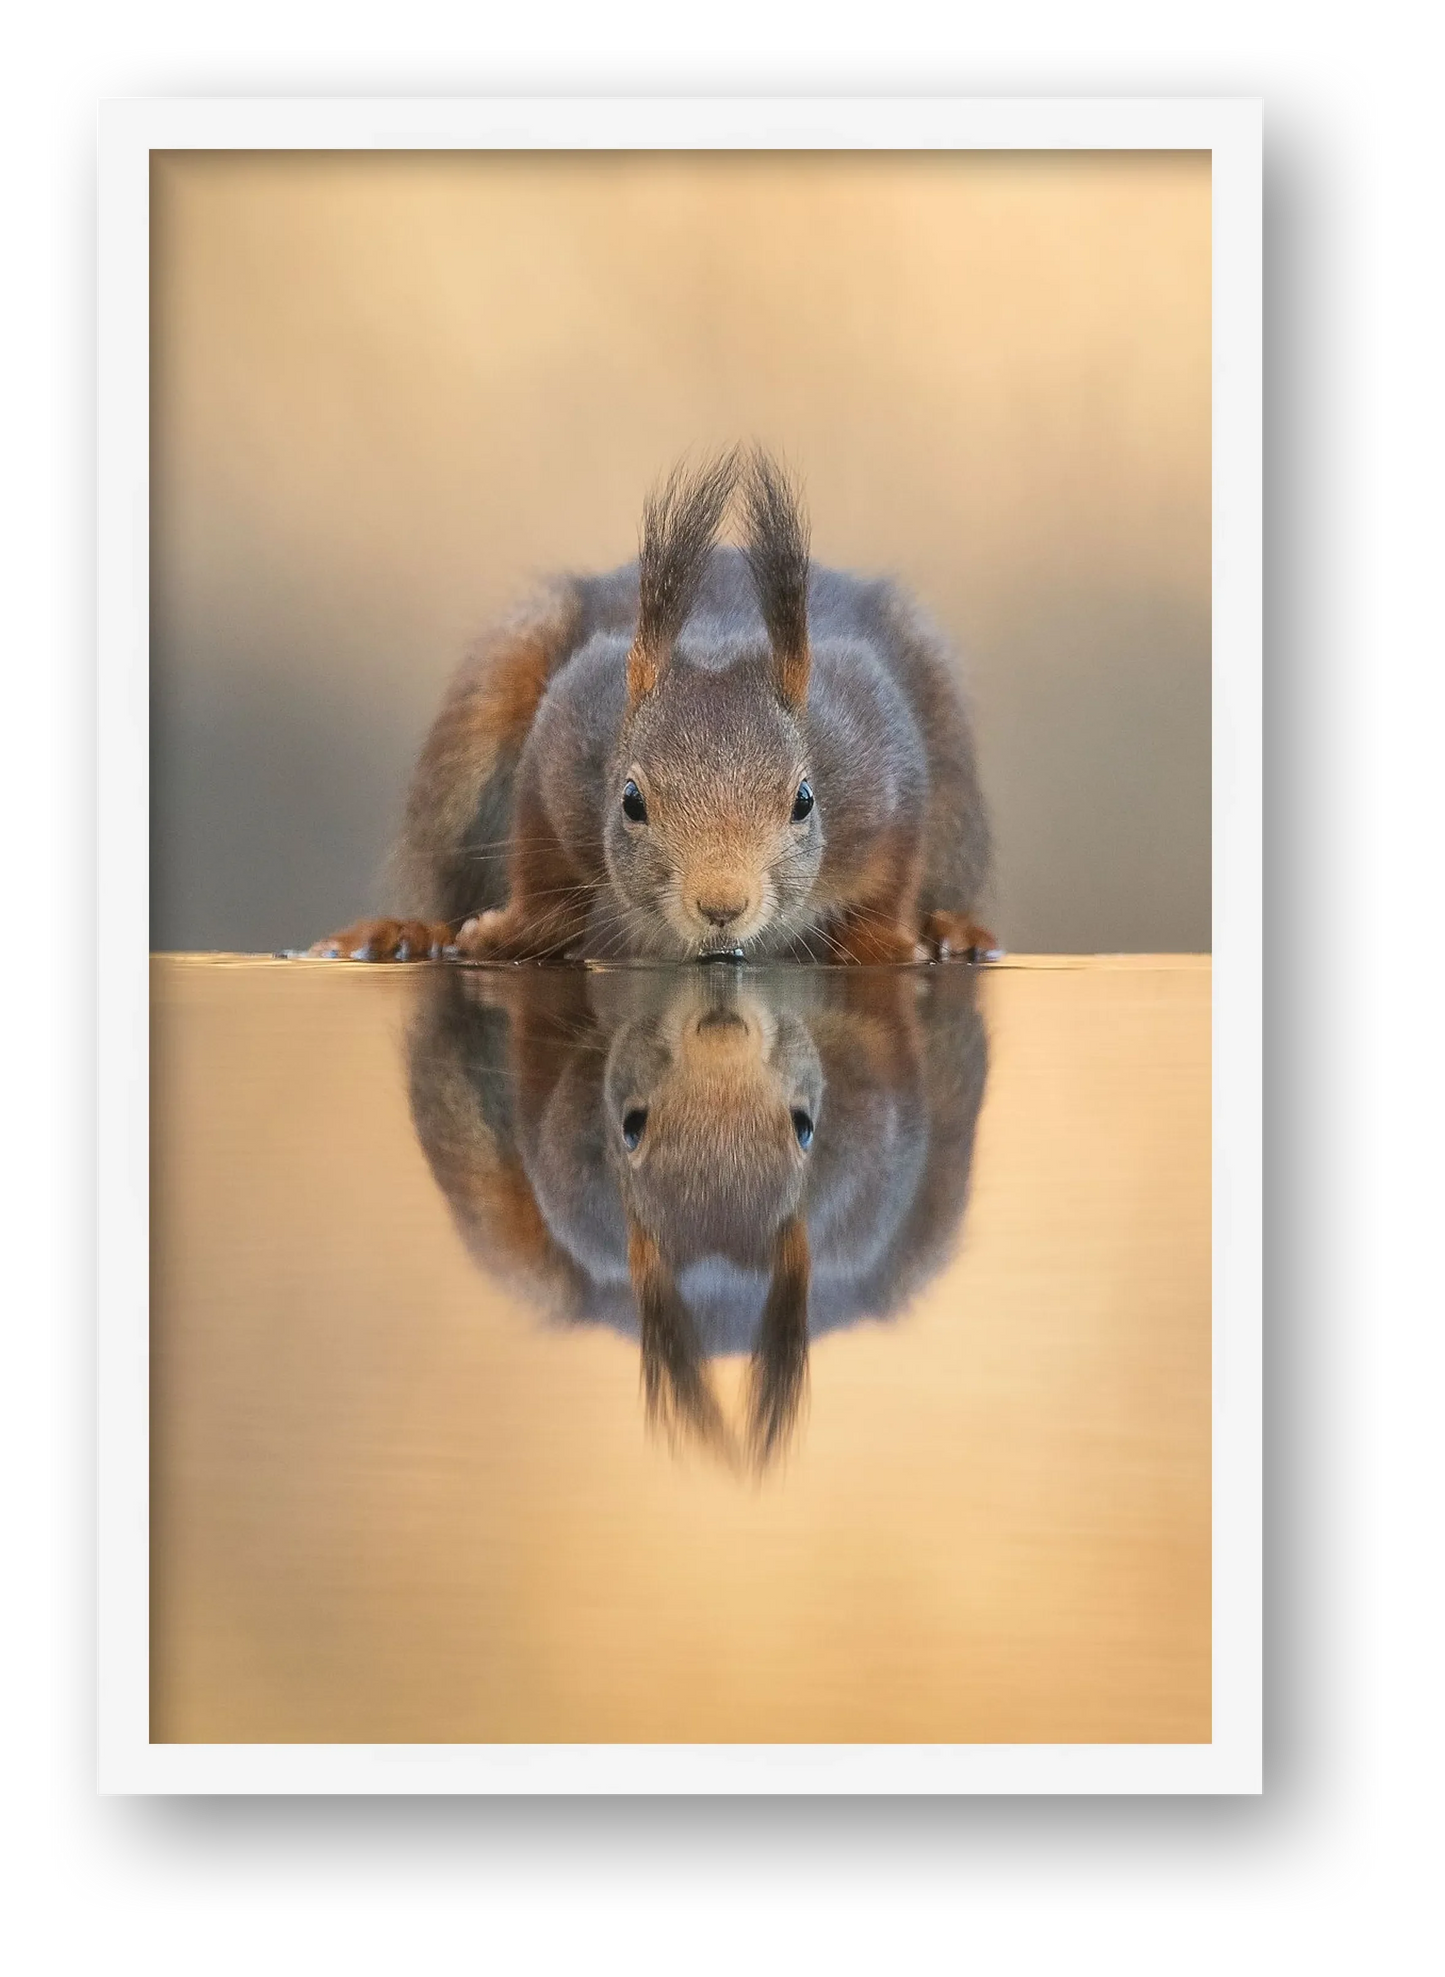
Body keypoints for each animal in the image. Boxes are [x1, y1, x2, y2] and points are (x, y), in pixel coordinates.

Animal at [312, 447, 996, 966]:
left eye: (804, 801)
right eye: (631, 802)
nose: (720, 907)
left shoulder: (880, 759)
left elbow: (892, 880)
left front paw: (885, 944)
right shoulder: (567, 739)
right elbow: (542, 877)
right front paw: (507, 933)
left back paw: (956, 931)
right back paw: (407, 933)